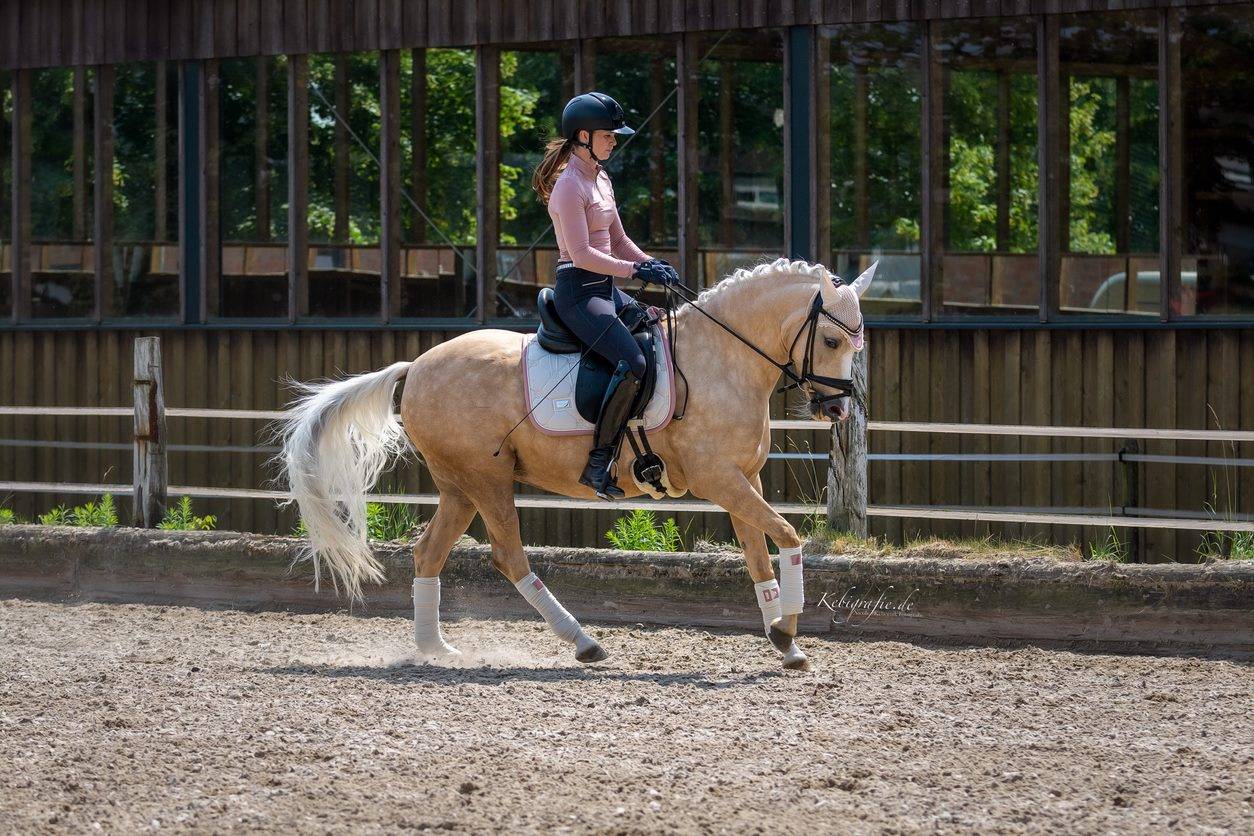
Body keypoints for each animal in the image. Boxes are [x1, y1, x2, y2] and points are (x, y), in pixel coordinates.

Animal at [279, 258, 877, 671]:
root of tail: (418, 365)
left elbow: (758, 559)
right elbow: (789, 536)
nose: (837, 410)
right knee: (510, 557)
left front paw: (785, 642)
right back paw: (584, 643)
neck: (723, 360)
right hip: (487, 481)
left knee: (428, 553)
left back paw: (436, 649)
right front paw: (788, 632)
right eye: (830, 339)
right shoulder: (720, 480)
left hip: (460, 488)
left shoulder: (742, 480)